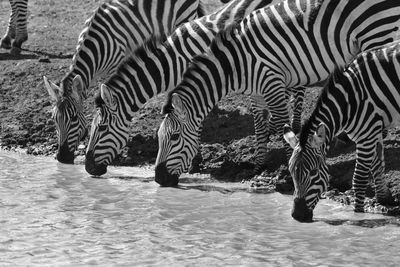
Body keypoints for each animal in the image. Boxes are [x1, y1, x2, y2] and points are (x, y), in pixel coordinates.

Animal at [42, 0, 206, 164]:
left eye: (74, 118)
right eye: (54, 119)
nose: (62, 157)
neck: (96, 46)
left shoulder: (114, 66)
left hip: (184, 16)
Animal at [154, 0, 400, 187]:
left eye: (174, 137)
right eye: (158, 137)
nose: (158, 179)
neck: (235, 65)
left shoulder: (272, 81)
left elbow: (282, 124)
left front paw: (284, 169)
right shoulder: (257, 90)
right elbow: (260, 126)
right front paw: (259, 164)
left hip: (378, 34)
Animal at [282, 40, 400, 223]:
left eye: (314, 172)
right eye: (291, 172)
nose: (297, 216)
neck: (351, 101)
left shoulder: (366, 135)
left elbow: (358, 180)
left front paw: (358, 215)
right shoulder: (374, 130)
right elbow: (377, 164)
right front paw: (384, 197)